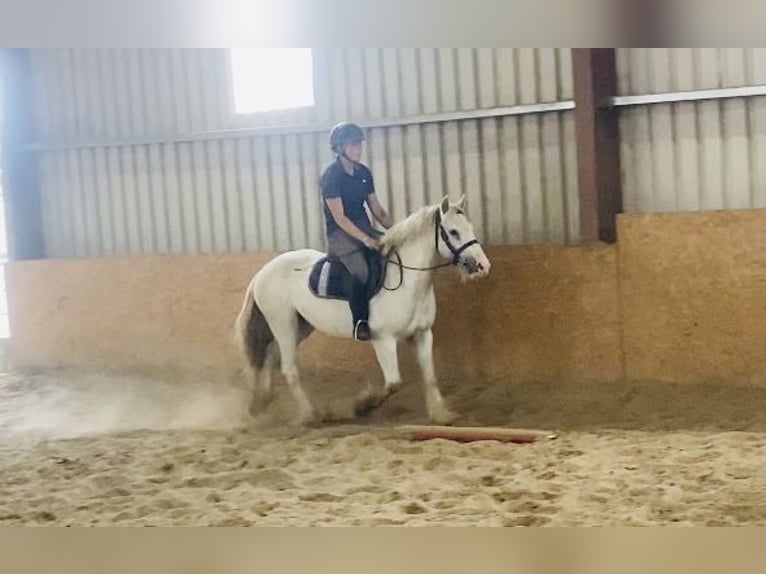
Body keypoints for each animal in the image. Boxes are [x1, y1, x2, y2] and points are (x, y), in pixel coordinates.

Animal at [234, 196, 496, 426]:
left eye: (470, 227)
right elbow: (394, 383)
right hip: (283, 323)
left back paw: (261, 402)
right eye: (453, 232)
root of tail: (262, 273)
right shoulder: (384, 340)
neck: (408, 281)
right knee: (288, 367)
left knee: (271, 355)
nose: (483, 266)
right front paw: (363, 406)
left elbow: (430, 376)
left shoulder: (422, 334)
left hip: (300, 326)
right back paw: (309, 415)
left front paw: (442, 415)